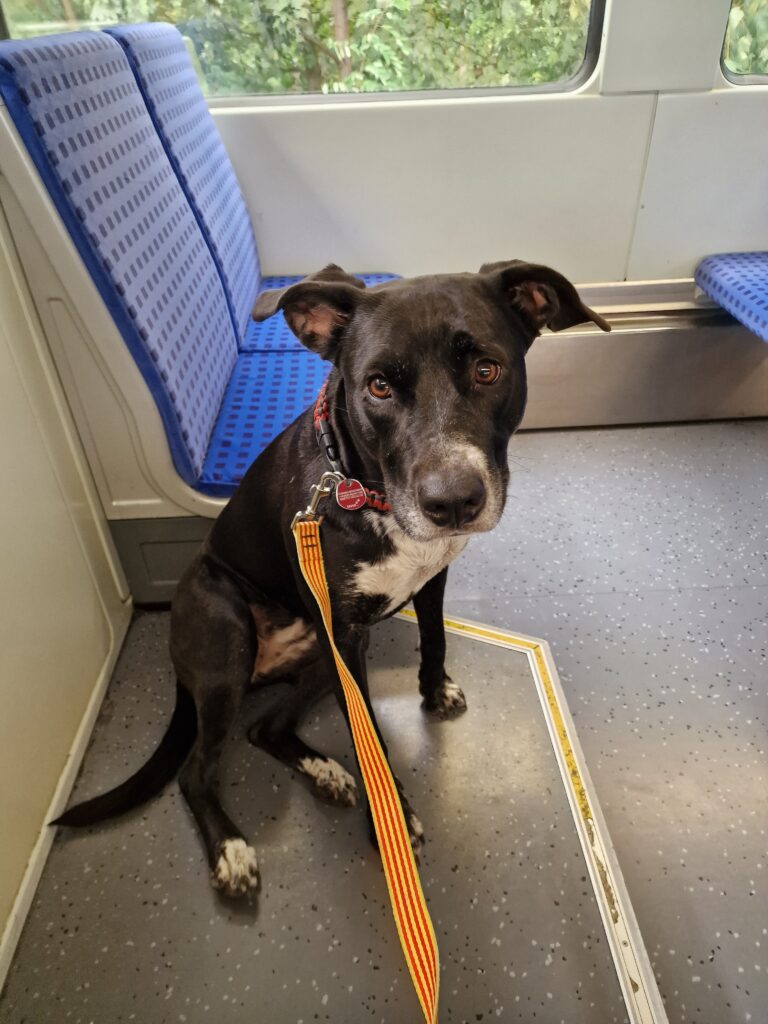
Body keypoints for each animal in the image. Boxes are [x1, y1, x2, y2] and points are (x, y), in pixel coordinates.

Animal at [55, 260, 609, 897]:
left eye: (487, 369)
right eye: (379, 386)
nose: (452, 502)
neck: (361, 489)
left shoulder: (426, 584)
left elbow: (436, 639)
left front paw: (435, 689)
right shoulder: (344, 638)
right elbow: (370, 738)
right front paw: (390, 818)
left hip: (318, 662)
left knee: (265, 729)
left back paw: (323, 771)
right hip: (229, 645)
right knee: (194, 772)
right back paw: (232, 851)